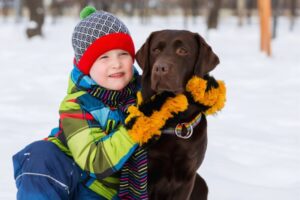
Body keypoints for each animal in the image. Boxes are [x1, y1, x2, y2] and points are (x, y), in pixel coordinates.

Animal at [136, 30, 220, 200]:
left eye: (183, 51)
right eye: (155, 50)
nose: (160, 68)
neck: (175, 121)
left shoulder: (187, 176)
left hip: (201, 183)